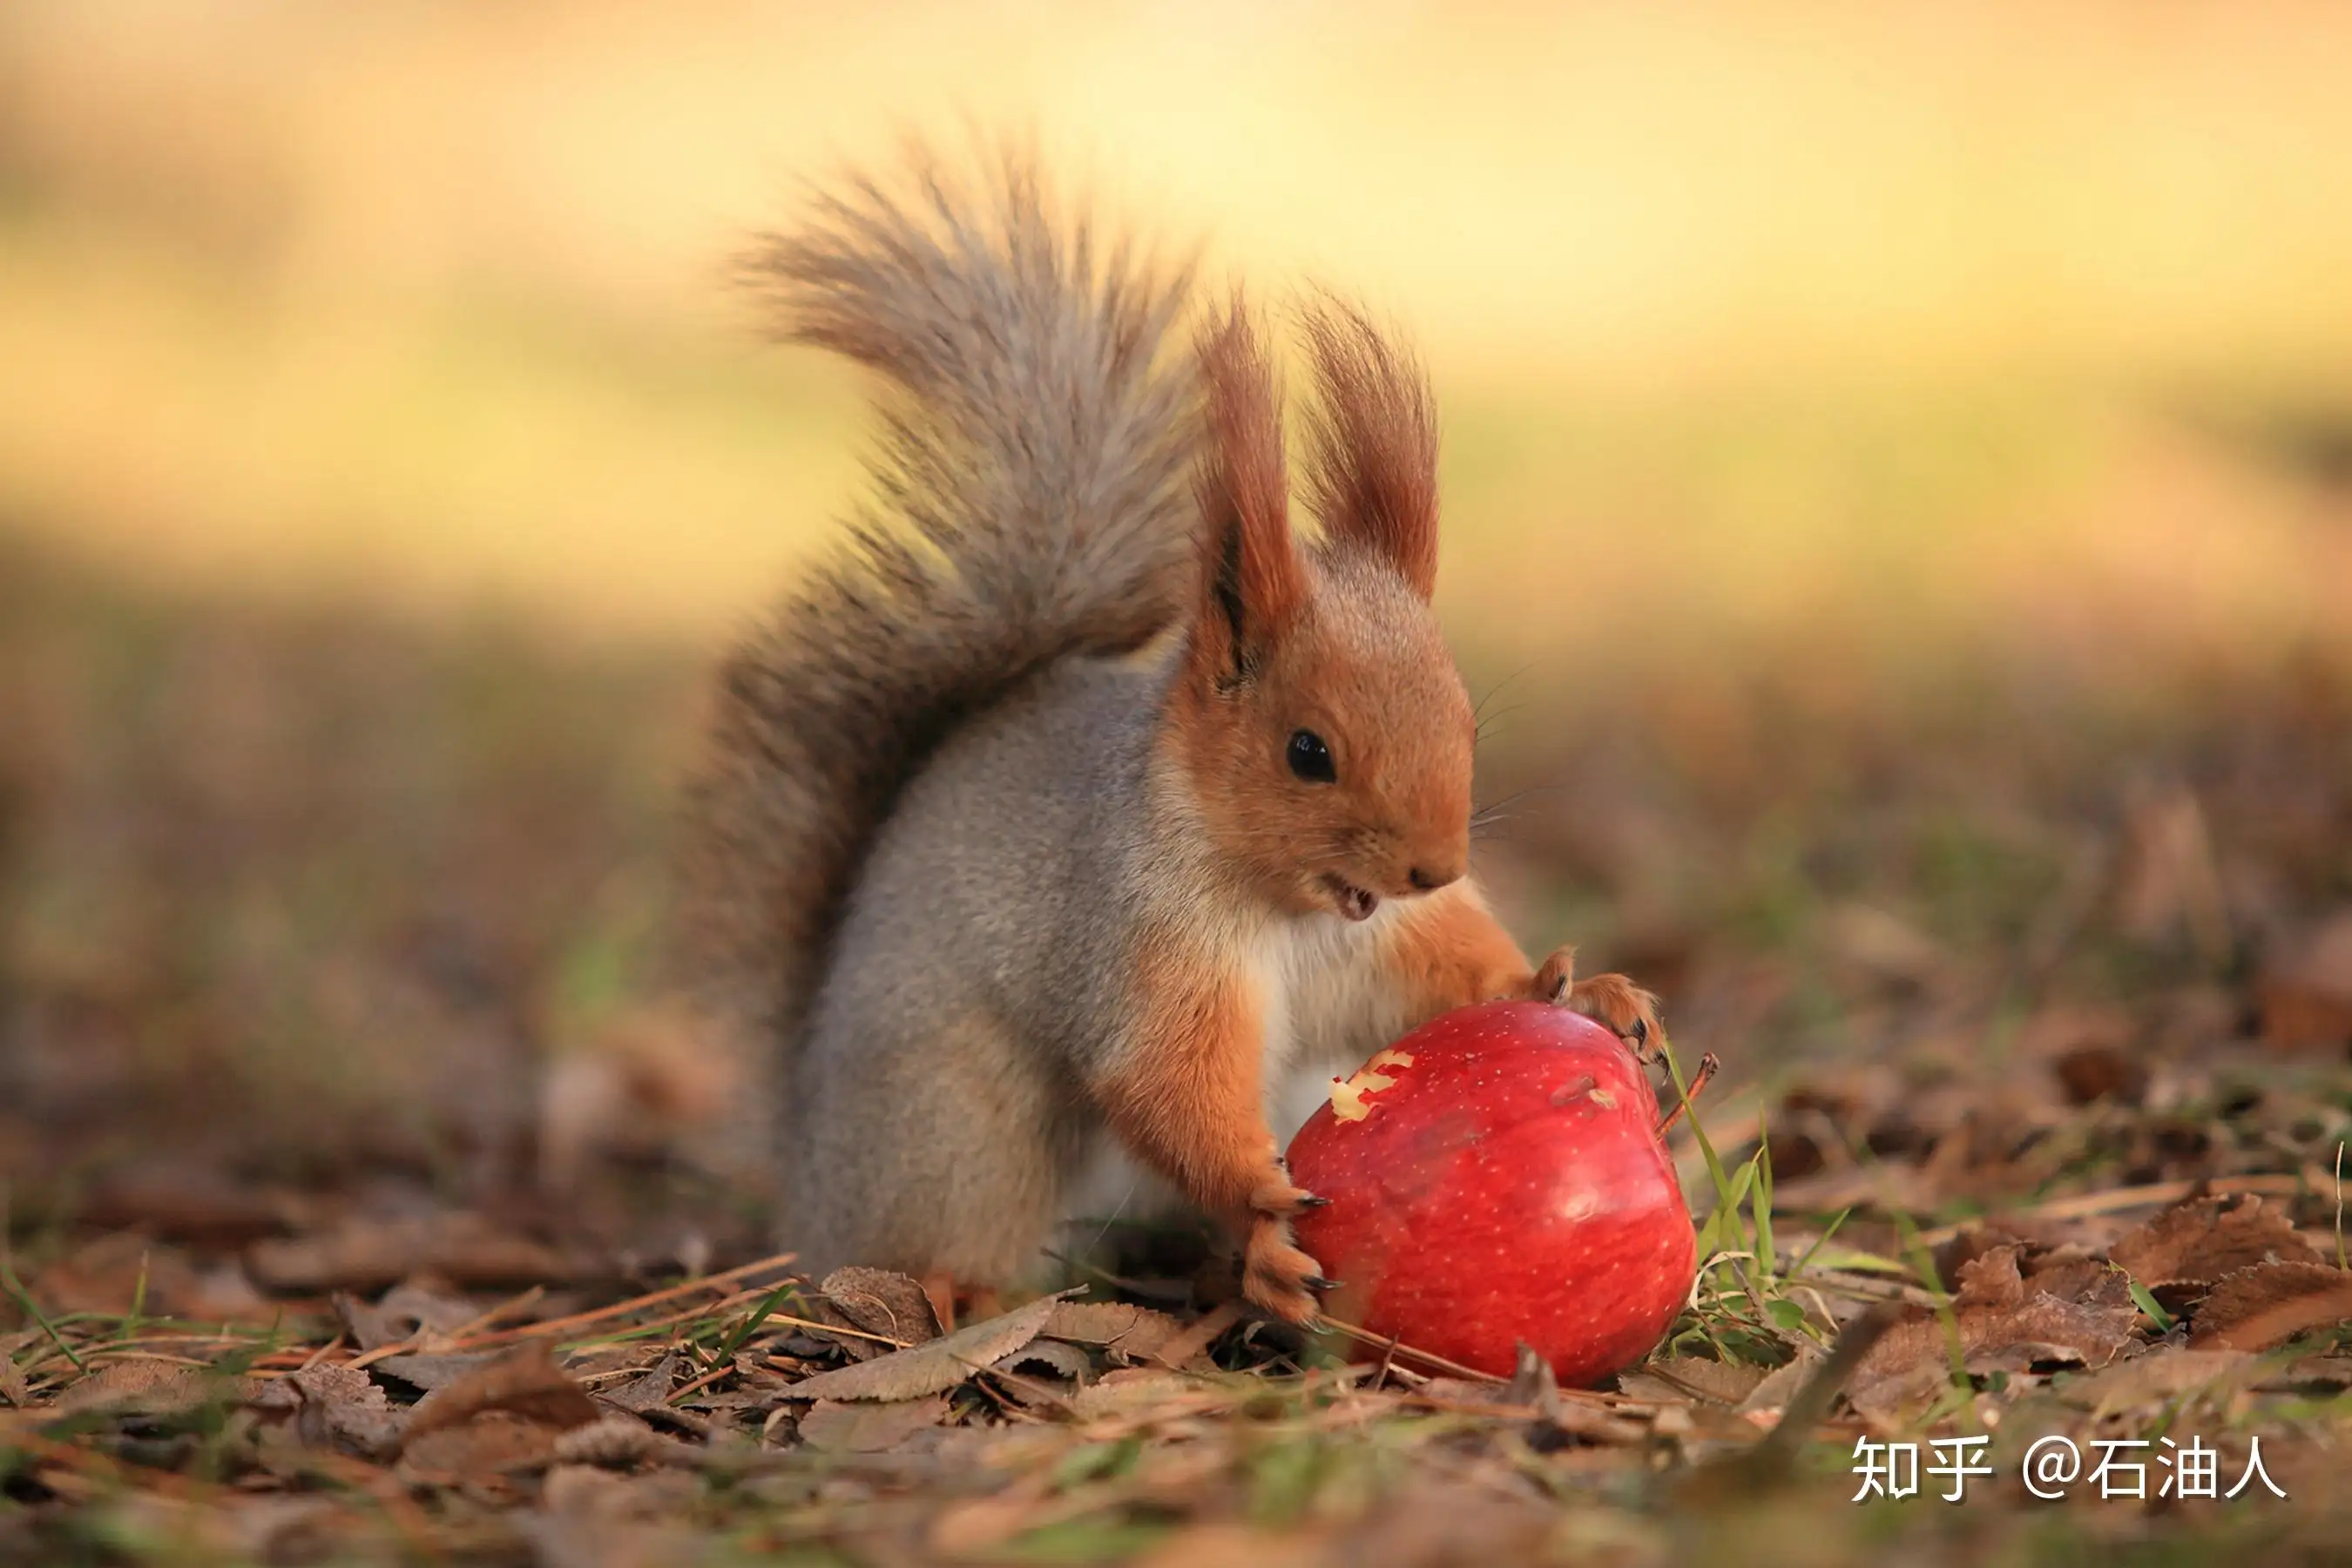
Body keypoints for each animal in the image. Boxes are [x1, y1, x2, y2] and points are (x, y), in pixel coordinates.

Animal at [677, 152, 1674, 1335]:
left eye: (1467, 717)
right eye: (1307, 751)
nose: (1437, 868)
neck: (1296, 915)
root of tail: (808, 1155)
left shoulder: (1387, 944)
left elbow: (1450, 982)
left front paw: (1578, 988)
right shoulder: (1140, 941)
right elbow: (1163, 1082)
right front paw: (1259, 1210)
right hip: (960, 1135)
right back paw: (962, 1287)